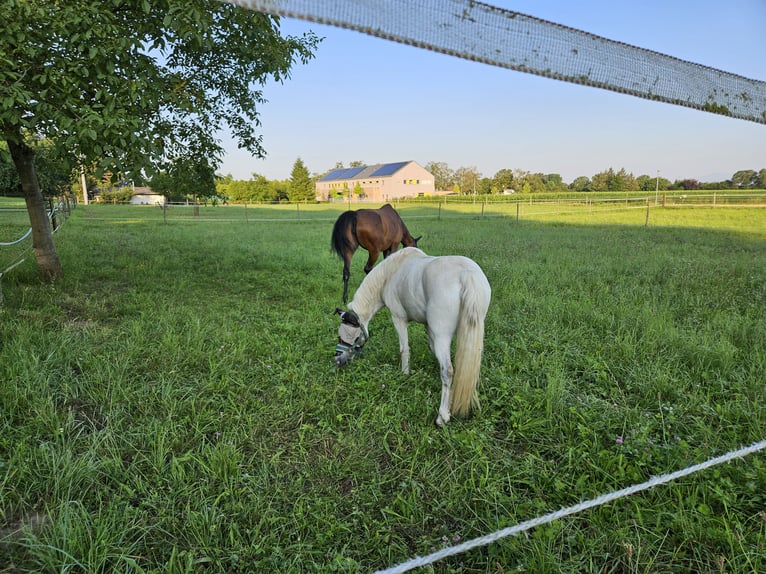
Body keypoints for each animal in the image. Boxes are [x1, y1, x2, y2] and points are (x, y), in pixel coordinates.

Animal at [334, 248, 492, 428]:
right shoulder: (428, 327)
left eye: (346, 338)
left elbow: (404, 349)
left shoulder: (399, 319)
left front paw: (405, 374)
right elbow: (432, 348)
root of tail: (466, 275)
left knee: (448, 370)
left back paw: (442, 417)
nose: (337, 361)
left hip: (442, 336)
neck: (390, 273)